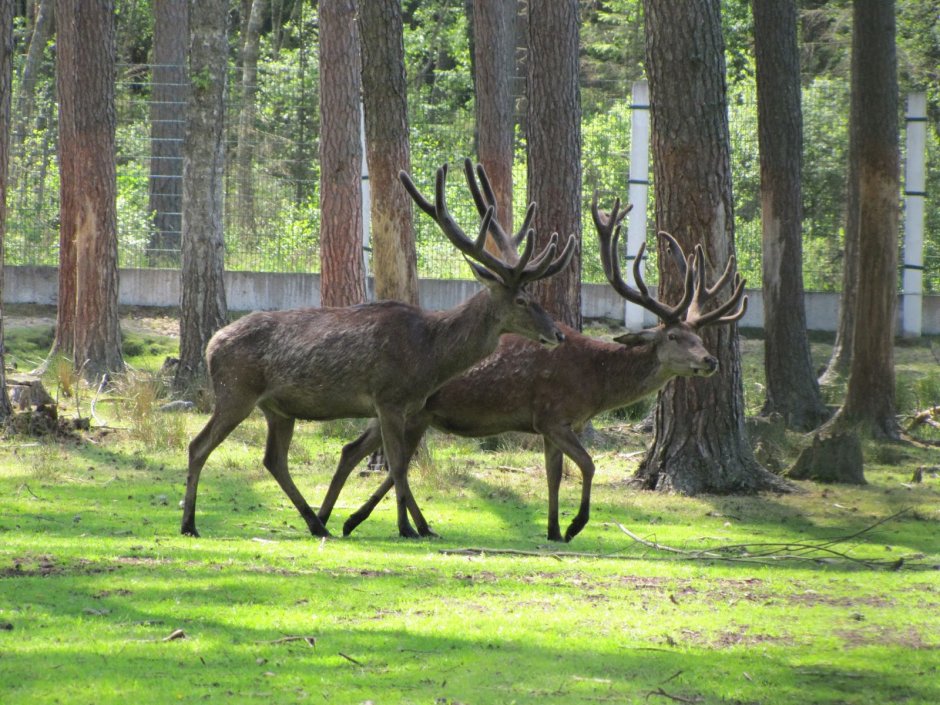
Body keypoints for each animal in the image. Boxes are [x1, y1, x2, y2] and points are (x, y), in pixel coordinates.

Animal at [176, 161, 572, 540]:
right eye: (521, 300)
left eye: (533, 297)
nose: (558, 334)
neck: (430, 357)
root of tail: (212, 343)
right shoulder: (388, 397)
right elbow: (396, 465)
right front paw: (410, 527)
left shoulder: (402, 406)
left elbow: (392, 463)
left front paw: (413, 525)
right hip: (235, 391)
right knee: (199, 445)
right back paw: (190, 524)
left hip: (277, 408)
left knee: (274, 459)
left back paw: (316, 523)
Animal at [320, 182, 744, 540]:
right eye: (673, 337)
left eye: (699, 337)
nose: (710, 360)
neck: (597, 385)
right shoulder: (553, 415)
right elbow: (588, 464)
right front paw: (574, 526)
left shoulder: (550, 425)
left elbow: (553, 475)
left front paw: (554, 530)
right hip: (410, 410)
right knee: (390, 462)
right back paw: (377, 522)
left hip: (405, 411)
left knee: (357, 452)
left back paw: (341, 519)